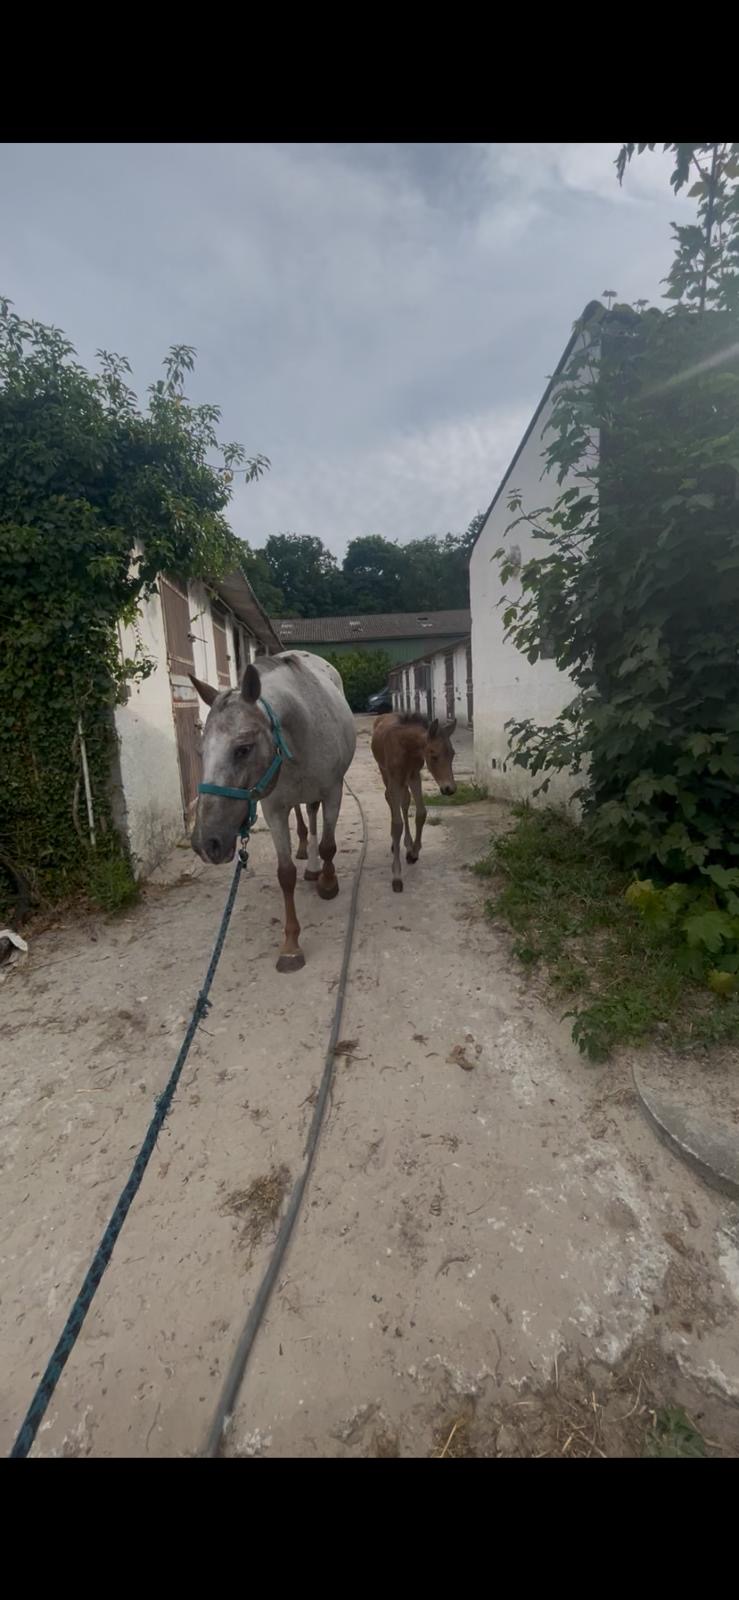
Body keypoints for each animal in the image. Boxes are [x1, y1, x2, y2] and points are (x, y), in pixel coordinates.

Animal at [190, 651, 356, 972]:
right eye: (202, 752)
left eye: (243, 749)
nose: (206, 843)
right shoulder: (274, 809)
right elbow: (286, 873)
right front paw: (291, 946)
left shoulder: (333, 792)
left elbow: (328, 845)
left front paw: (328, 884)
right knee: (304, 821)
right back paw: (308, 860)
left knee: (314, 820)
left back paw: (316, 869)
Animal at [370, 711, 457, 892]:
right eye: (433, 755)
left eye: (452, 754)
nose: (449, 789)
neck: (407, 747)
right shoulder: (395, 779)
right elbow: (397, 824)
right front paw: (396, 876)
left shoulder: (414, 776)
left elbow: (421, 813)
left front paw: (414, 853)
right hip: (384, 772)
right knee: (390, 799)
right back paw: (395, 844)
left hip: (404, 781)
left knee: (404, 802)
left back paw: (408, 845)